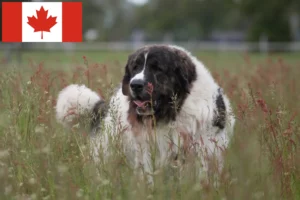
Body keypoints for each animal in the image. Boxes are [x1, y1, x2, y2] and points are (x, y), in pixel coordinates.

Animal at [55, 44, 234, 180]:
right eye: (135, 67)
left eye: (157, 68)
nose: (135, 84)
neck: (173, 113)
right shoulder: (147, 152)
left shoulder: (205, 151)